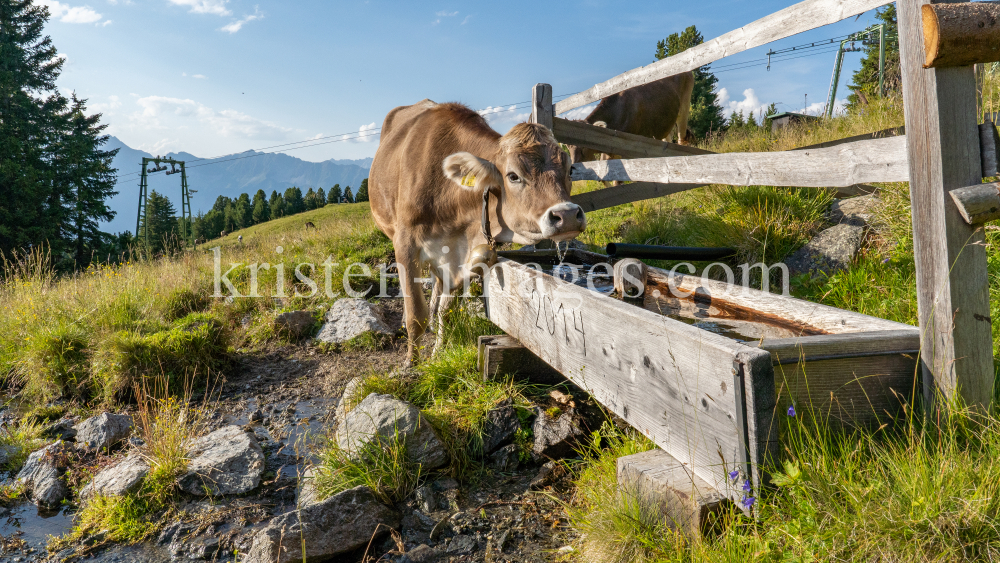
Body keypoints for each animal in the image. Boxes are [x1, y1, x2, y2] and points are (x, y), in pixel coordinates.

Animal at [372, 100, 584, 366]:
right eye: (513, 175)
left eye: (571, 170)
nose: (567, 215)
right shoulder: (406, 244)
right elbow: (415, 315)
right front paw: (411, 363)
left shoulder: (461, 256)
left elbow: (447, 311)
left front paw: (438, 352)